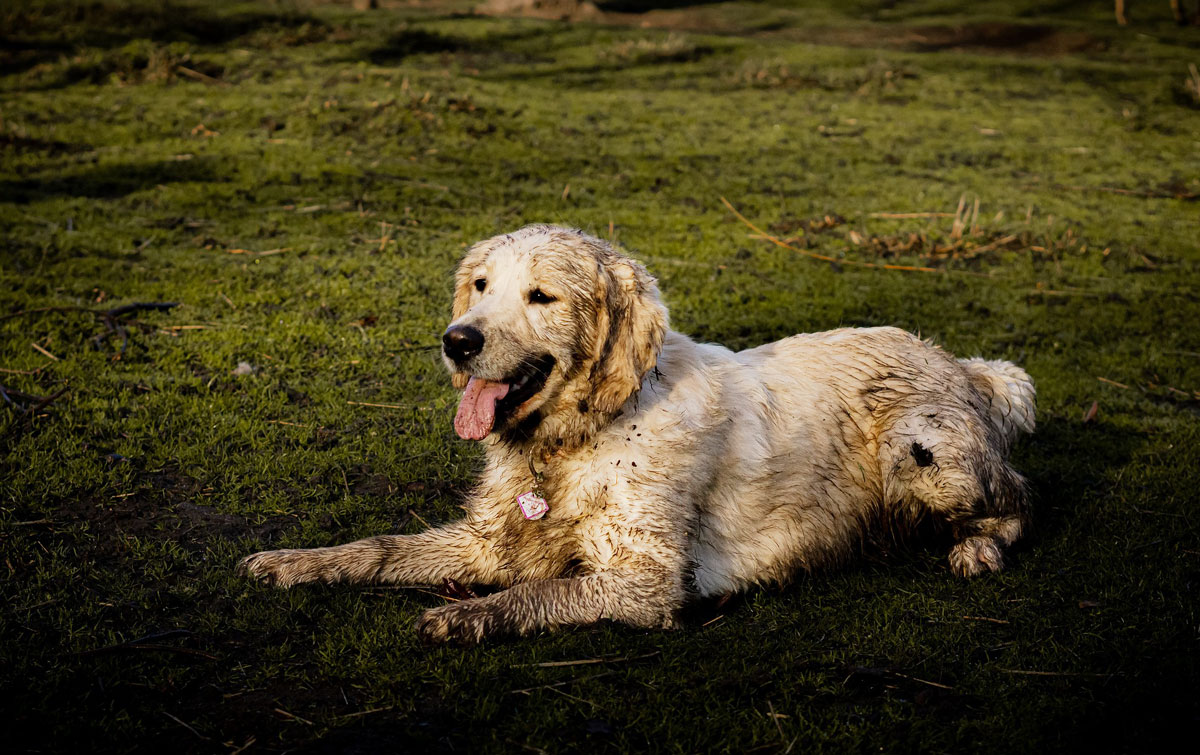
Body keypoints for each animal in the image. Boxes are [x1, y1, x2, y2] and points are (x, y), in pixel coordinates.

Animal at [238, 223, 1036, 643]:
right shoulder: (489, 540)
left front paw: (465, 614)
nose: (457, 340)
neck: (572, 441)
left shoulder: (647, 582)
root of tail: (959, 361)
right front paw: (296, 562)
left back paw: (977, 548)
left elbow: (540, 593)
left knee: (1018, 495)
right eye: (480, 286)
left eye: (541, 296)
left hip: (927, 450)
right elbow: (379, 547)